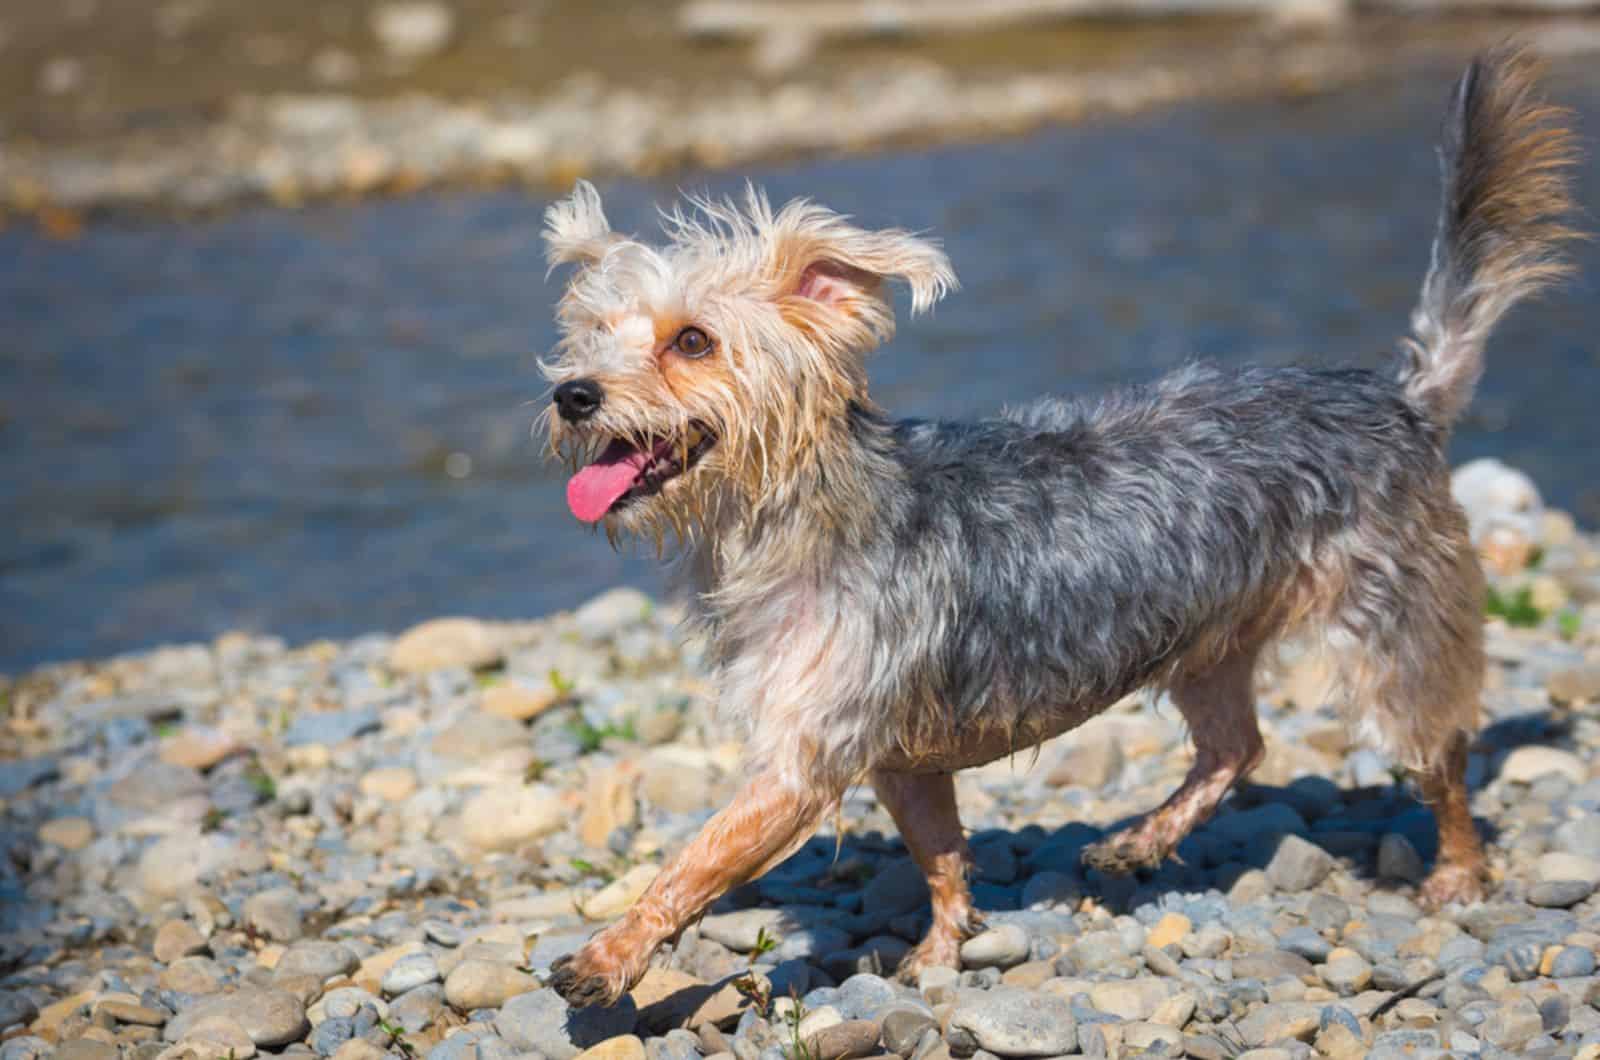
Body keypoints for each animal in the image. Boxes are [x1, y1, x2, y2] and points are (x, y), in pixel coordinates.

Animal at [534, 47, 1574, 1011]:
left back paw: (1456, 872)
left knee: (1437, 757)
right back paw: (1140, 841)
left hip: (1393, 626)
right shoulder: (899, 759)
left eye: (693, 341)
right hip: (1209, 640)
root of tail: (1400, 395)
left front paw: (611, 955)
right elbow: (940, 854)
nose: (572, 393)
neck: (786, 516)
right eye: (589, 336)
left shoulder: (804, 760)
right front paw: (941, 953)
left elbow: (697, 858)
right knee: (1238, 746)